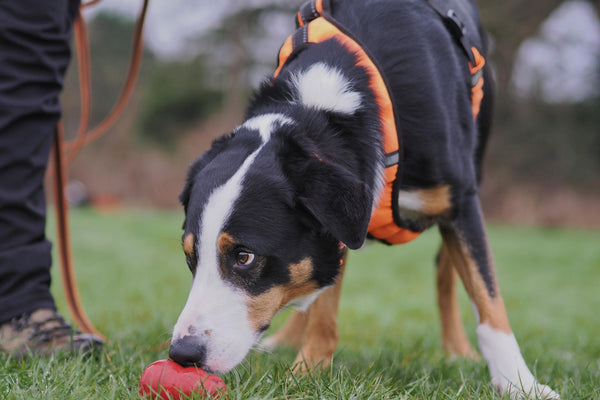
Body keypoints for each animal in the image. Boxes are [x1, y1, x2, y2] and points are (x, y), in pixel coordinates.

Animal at [168, 0, 556, 396]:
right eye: (189, 257)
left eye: (244, 257)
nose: (182, 354)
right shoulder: (337, 226)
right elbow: (322, 307)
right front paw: (307, 372)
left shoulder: (460, 203)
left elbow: (488, 301)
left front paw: (520, 383)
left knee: (444, 271)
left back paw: (457, 351)